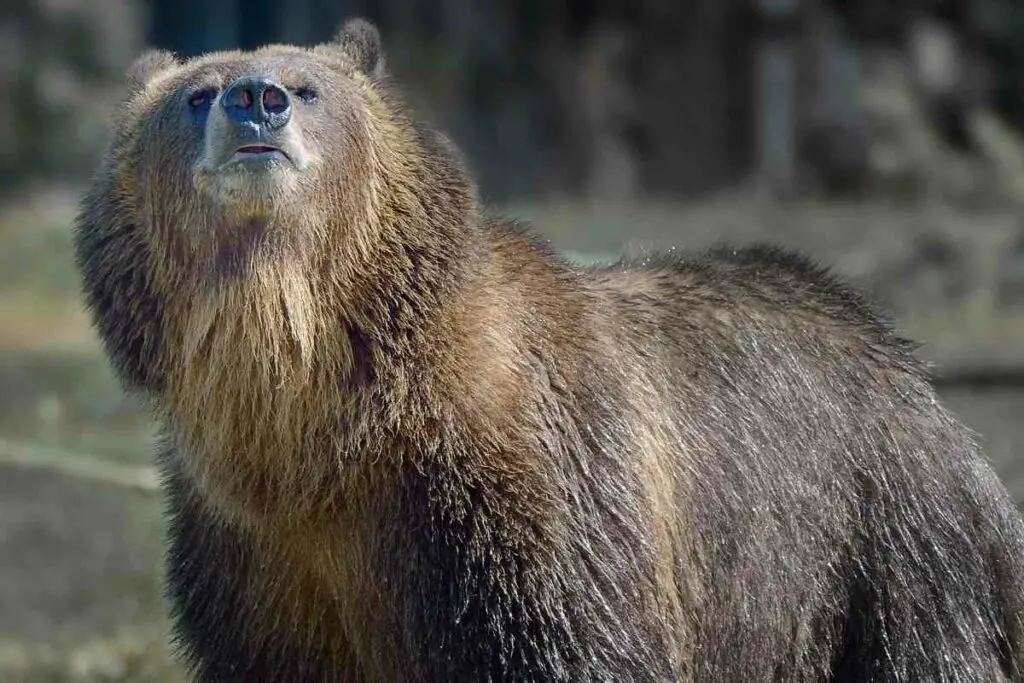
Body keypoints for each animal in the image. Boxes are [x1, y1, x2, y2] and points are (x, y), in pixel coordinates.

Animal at [74, 14, 1024, 683]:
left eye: (307, 88)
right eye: (196, 93)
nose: (257, 99)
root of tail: (906, 364)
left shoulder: (529, 505)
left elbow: (571, 641)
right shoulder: (257, 558)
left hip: (872, 544)